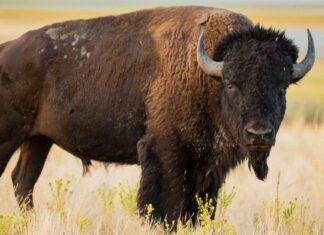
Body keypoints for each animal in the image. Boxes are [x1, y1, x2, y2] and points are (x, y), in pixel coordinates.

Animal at [0, 5, 314, 226]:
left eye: (283, 86)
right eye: (230, 84)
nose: (258, 134)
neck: (206, 75)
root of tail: (7, 49)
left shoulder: (209, 168)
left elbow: (198, 210)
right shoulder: (166, 152)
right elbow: (165, 208)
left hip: (38, 140)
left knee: (23, 182)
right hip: (11, 138)